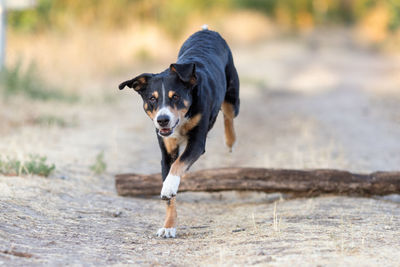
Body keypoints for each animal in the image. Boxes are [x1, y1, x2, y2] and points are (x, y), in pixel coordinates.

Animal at [117, 26, 239, 239]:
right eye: (152, 98)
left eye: (176, 97)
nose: (162, 119)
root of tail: (207, 31)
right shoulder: (167, 152)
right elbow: (170, 195)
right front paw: (168, 226)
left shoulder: (197, 143)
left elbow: (178, 165)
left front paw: (169, 186)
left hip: (233, 94)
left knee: (228, 114)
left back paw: (230, 141)